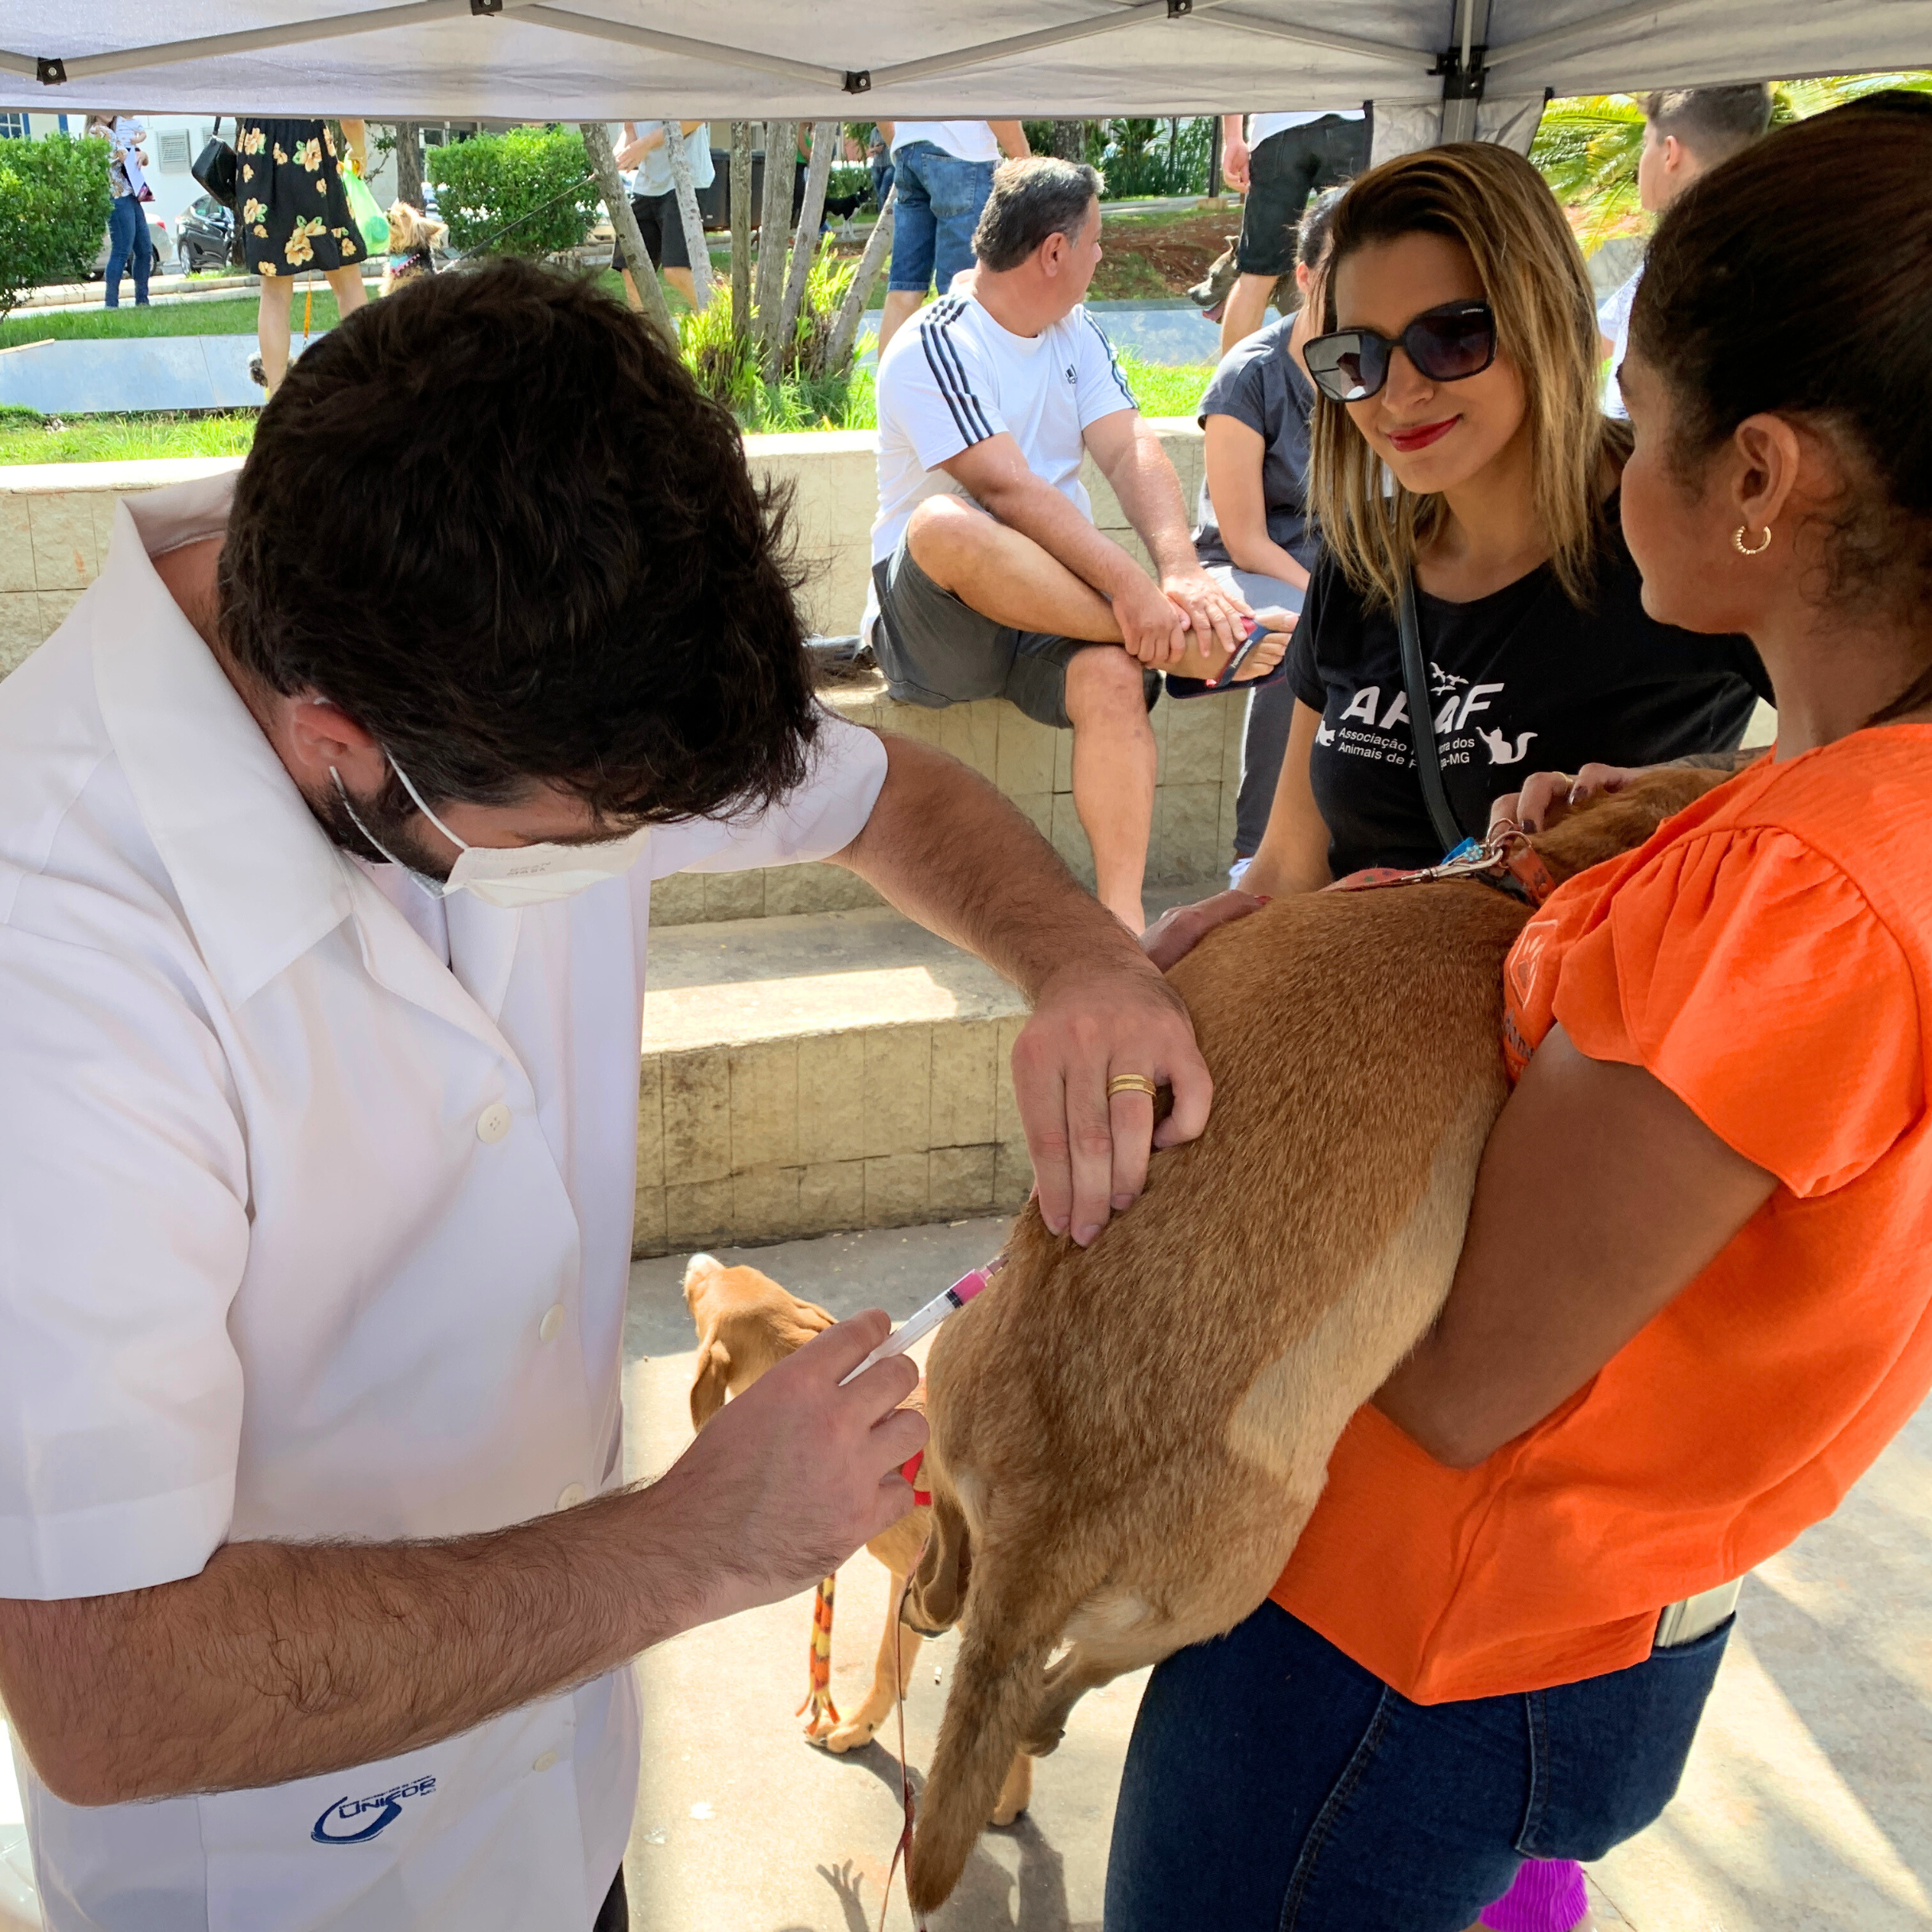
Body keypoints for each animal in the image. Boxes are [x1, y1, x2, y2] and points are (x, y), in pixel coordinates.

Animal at [684, 1251, 1043, 1823]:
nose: (698, 1261)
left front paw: (1008, 1800)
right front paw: (858, 1728)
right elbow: (887, 1668)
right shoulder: (908, 1589)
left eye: (701, 1295)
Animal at [900, 773, 1723, 1916]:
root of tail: (1047, 1521)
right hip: (1223, 1592)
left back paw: (939, 1598)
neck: (1511, 891)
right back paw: (1041, 1710)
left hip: (961, 1366)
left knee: (954, 1548)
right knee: (1074, 1674)